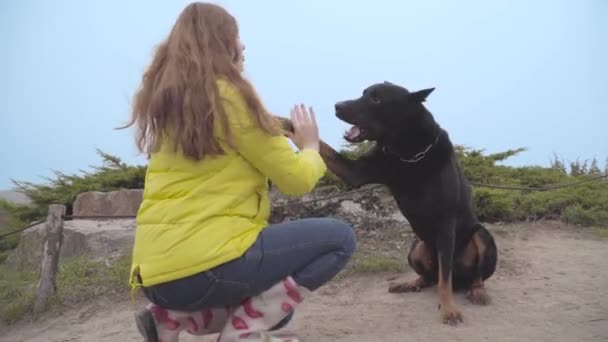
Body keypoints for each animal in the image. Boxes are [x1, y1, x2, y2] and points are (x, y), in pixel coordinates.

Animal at [316, 81, 496, 324]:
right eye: (364, 93)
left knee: (470, 276)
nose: (337, 106)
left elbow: (445, 279)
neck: (406, 152)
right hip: (416, 247)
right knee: (429, 278)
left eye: (376, 99)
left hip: (481, 237)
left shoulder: (445, 224)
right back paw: (409, 283)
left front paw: (448, 308)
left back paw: (477, 291)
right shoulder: (355, 172)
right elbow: (322, 146)